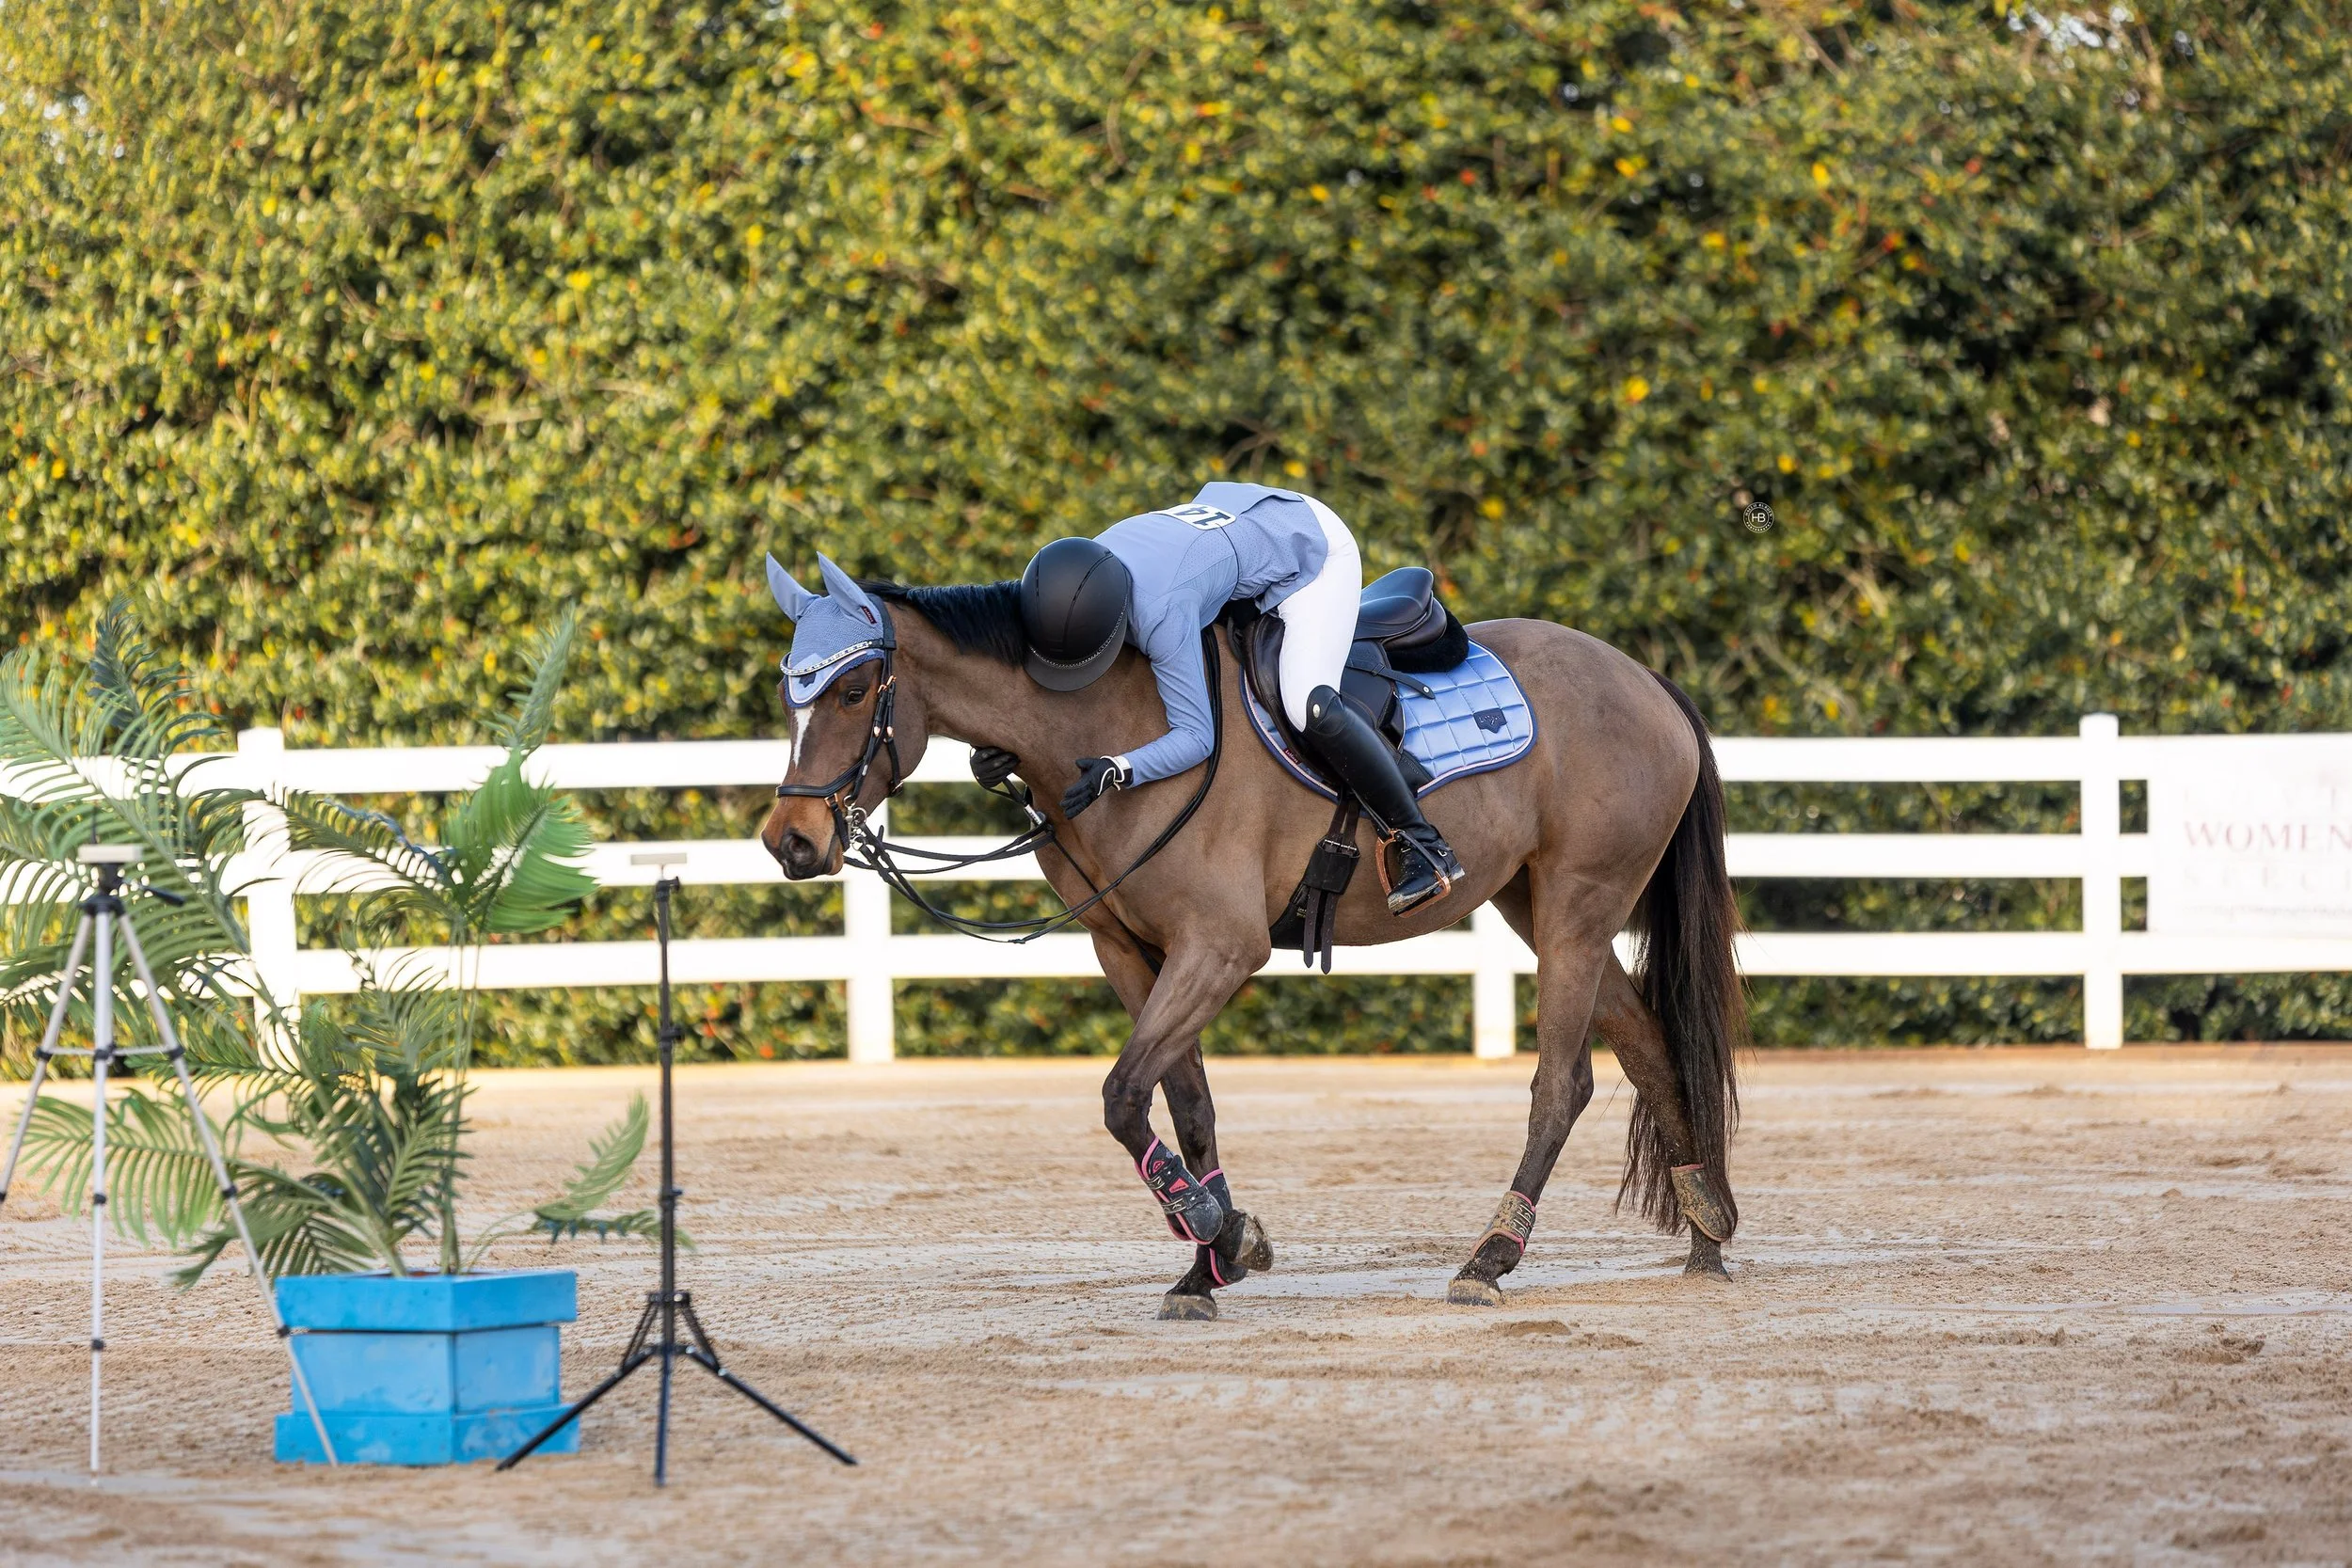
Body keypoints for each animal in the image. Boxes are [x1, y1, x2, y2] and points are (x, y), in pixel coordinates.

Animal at [758, 554, 1745, 1319]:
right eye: (786, 693)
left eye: (853, 688)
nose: (789, 840)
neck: (1117, 727)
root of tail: (1644, 678)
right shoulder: (1130, 951)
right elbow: (1184, 1103)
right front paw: (1210, 1256)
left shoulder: (1221, 947)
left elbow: (1122, 1094)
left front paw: (1217, 1229)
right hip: (1537, 908)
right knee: (1650, 1047)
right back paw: (1705, 1232)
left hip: (1579, 906)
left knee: (1562, 1084)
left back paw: (1490, 1258)